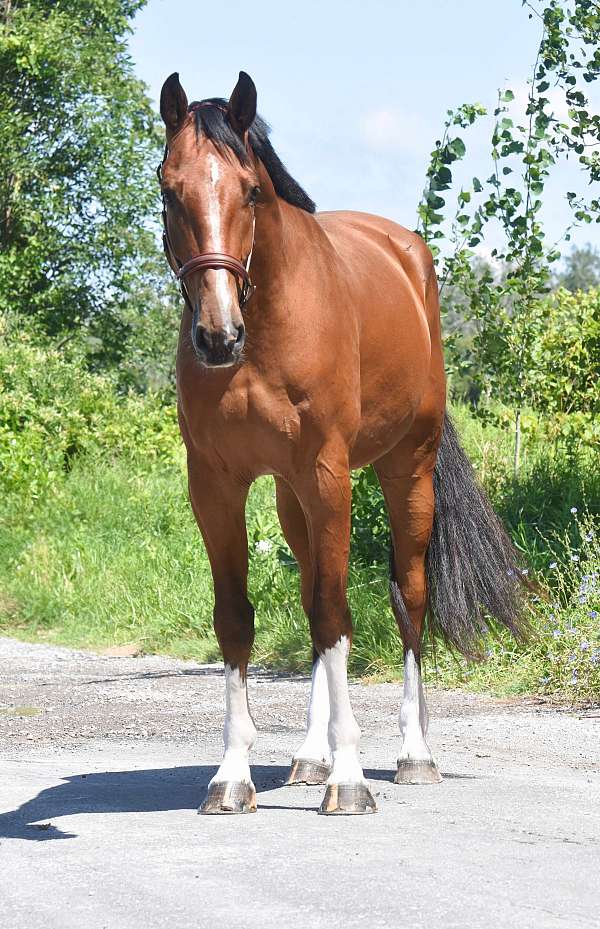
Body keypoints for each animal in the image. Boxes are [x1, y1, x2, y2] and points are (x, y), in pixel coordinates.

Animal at [158, 71, 527, 816]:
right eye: (169, 189)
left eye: (250, 190)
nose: (217, 335)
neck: (265, 332)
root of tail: (407, 253)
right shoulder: (216, 484)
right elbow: (238, 618)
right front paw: (232, 776)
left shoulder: (328, 473)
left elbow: (336, 612)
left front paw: (350, 779)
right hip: (292, 498)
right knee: (312, 598)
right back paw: (307, 756)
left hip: (404, 470)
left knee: (406, 599)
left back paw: (414, 755)